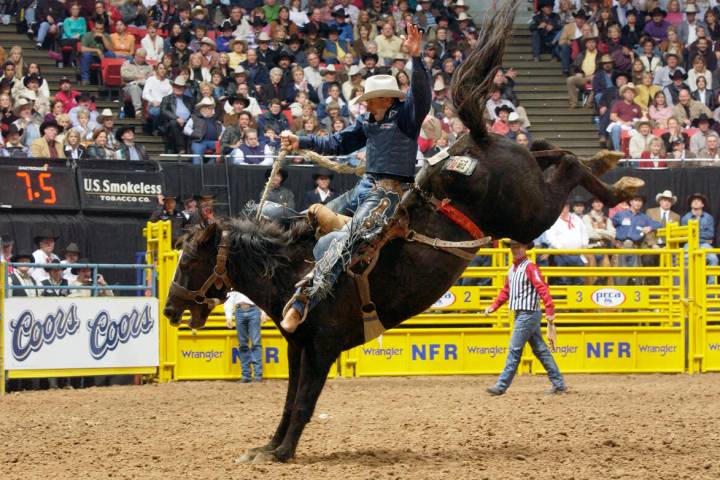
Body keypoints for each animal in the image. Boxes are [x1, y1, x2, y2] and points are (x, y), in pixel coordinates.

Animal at [162, 0, 640, 464]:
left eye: (191, 260)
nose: (169, 310)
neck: (291, 270)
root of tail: (474, 143)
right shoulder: (298, 347)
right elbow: (288, 402)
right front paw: (268, 447)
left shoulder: (320, 348)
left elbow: (302, 404)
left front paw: (281, 452)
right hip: (525, 181)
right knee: (547, 150)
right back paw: (607, 161)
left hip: (530, 212)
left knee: (568, 166)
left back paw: (619, 180)